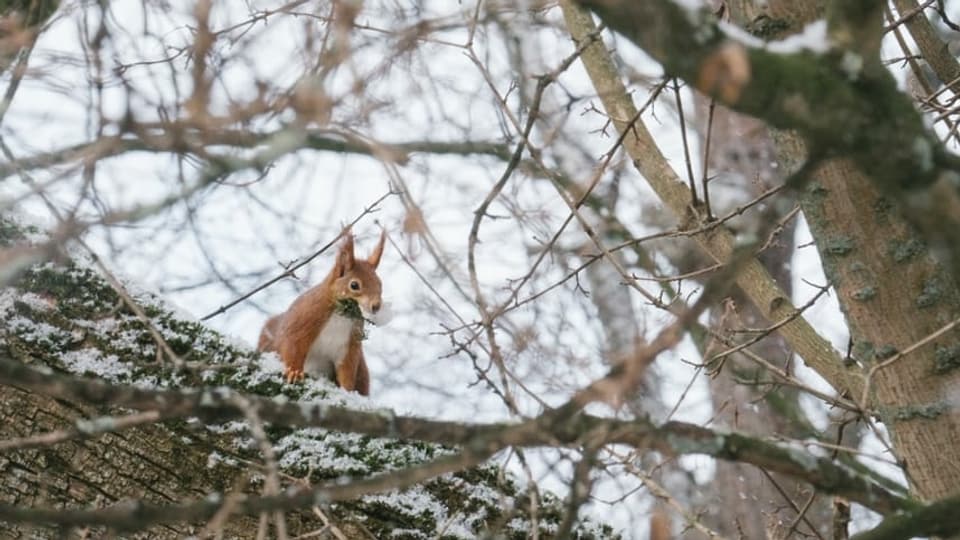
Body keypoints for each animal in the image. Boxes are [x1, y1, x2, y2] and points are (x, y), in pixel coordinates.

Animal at [260, 230, 388, 394]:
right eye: (354, 285)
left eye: (380, 284)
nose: (376, 306)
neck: (341, 315)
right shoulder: (305, 319)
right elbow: (293, 345)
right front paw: (294, 371)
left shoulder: (348, 346)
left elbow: (347, 370)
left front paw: (347, 391)